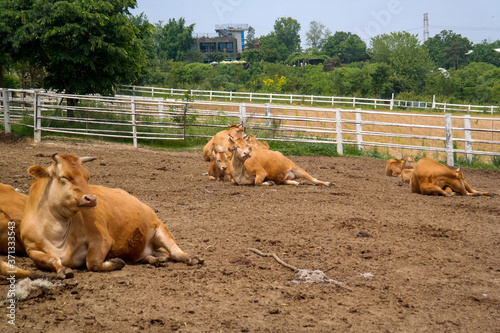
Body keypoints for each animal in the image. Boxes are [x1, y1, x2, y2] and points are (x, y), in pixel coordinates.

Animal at [20, 153, 202, 278]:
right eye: (63, 176)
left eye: (87, 177)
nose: (91, 198)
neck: (58, 234)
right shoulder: (31, 249)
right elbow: (52, 260)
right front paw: (63, 269)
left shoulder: (102, 240)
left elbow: (93, 263)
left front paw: (115, 262)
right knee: (152, 256)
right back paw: (156, 260)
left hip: (160, 228)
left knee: (175, 252)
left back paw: (190, 257)